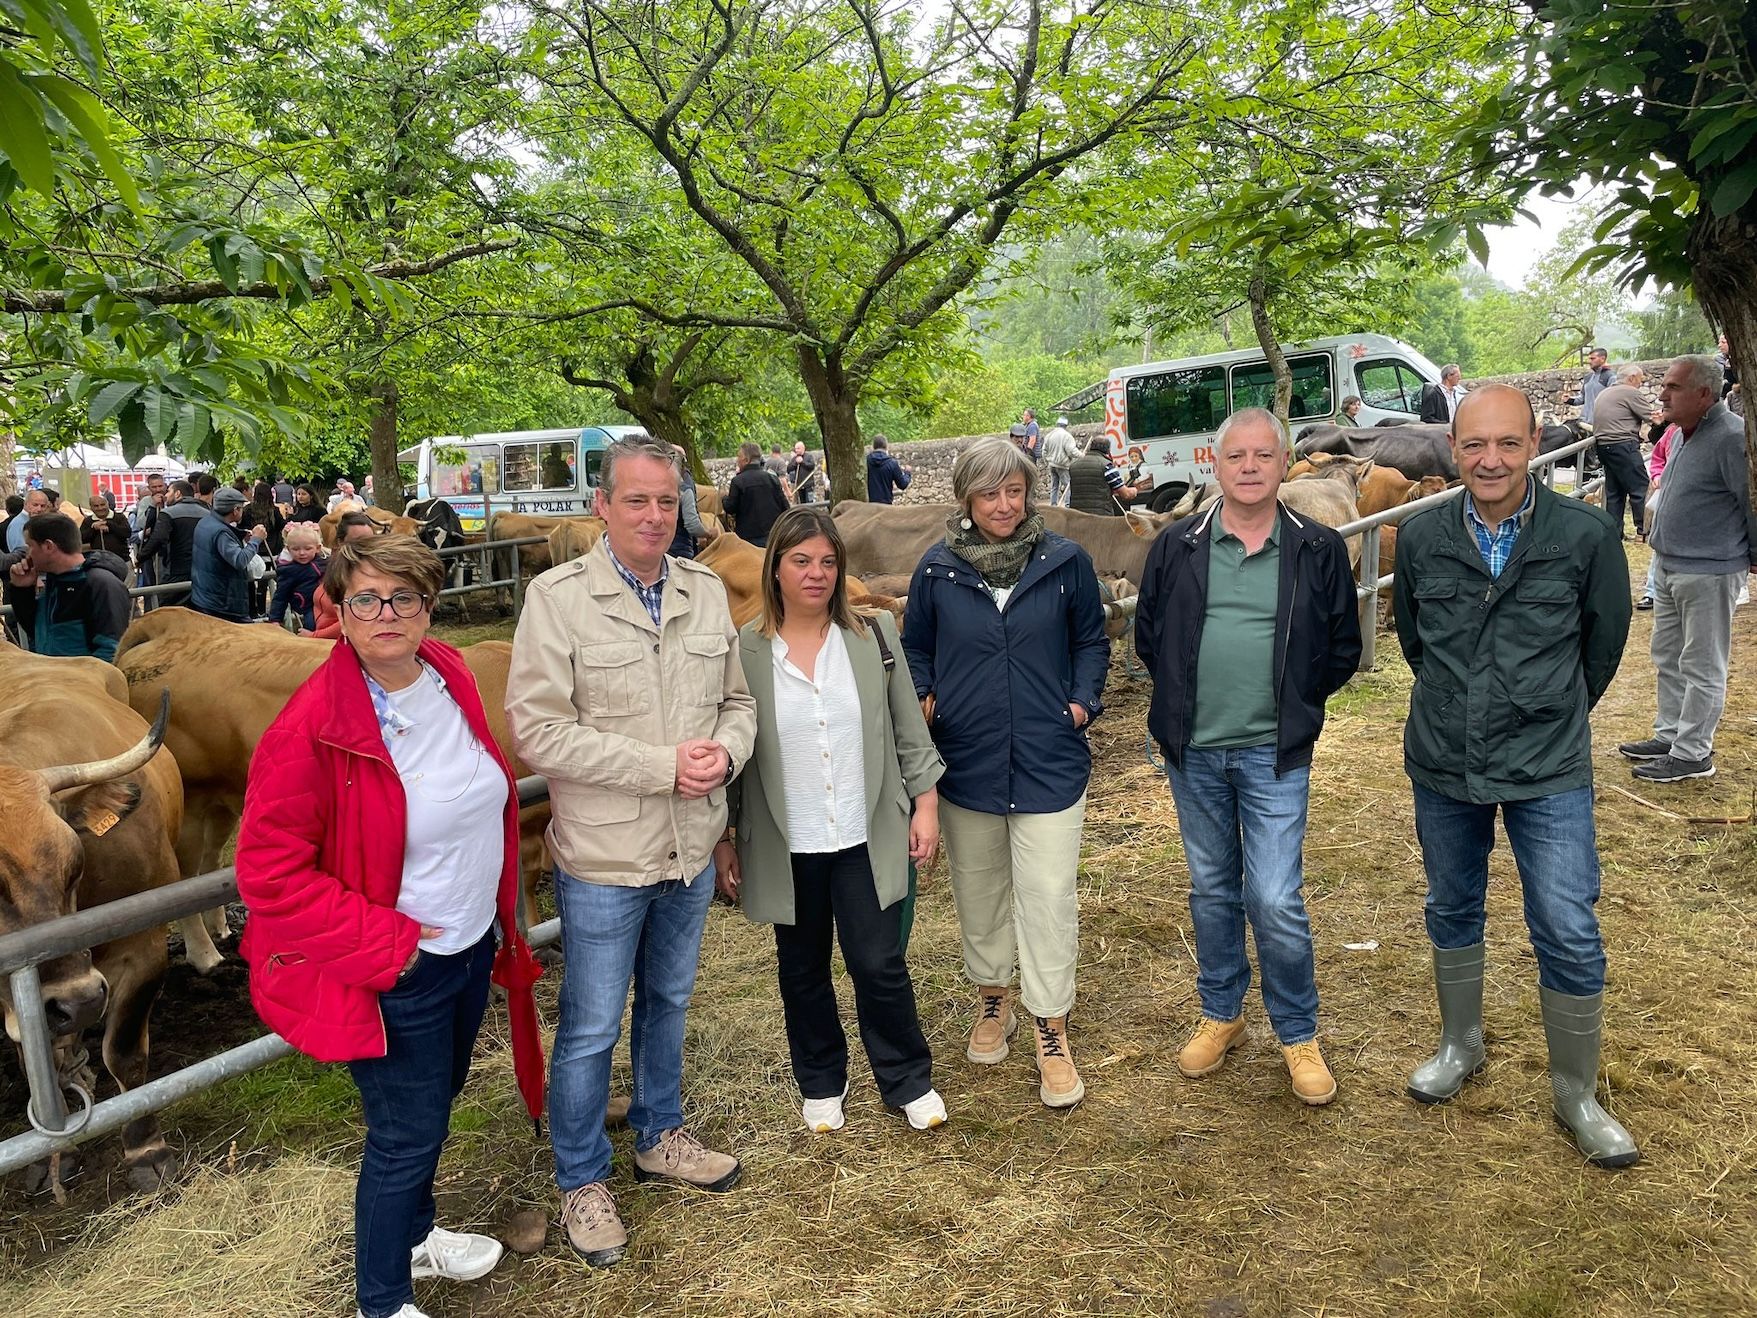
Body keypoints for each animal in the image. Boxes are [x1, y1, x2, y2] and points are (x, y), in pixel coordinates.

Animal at [0, 646, 185, 1194]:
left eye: (75, 863)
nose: (79, 1001)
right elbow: (35, 1064)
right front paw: (51, 1155)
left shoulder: (145, 947)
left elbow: (123, 1050)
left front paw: (147, 1150)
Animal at [114, 608, 551, 970]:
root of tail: (171, 622)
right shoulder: (524, 825)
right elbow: (525, 884)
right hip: (190, 795)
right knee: (185, 874)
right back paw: (204, 954)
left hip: (222, 796)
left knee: (209, 858)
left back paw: (219, 928)